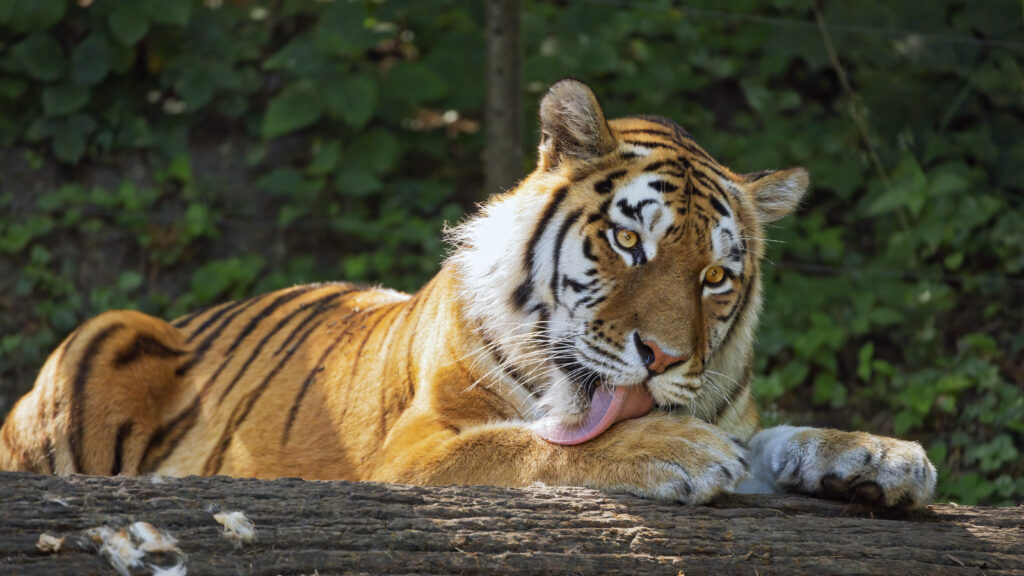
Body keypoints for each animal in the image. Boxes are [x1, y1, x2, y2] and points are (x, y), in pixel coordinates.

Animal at [1, 79, 935, 507]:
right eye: (629, 241)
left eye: (715, 278)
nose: (665, 358)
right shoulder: (415, 450)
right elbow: (531, 446)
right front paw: (671, 450)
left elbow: (779, 438)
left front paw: (876, 455)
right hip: (108, 330)